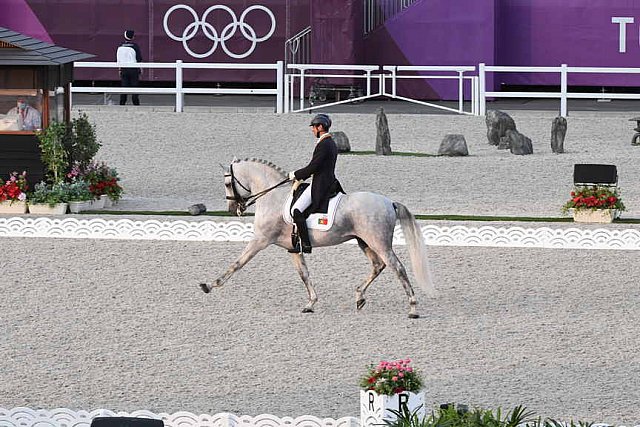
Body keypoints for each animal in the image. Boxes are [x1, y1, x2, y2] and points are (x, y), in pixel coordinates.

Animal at [200, 158, 436, 318]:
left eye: (228, 184)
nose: (233, 210)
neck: (273, 197)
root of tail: (389, 202)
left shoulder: (260, 240)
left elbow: (237, 263)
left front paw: (211, 285)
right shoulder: (293, 248)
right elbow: (304, 274)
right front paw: (311, 303)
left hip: (379, 242)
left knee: (398, 268)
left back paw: (413, 308)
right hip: (364, 242)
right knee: (378, 266)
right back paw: (359, 297)